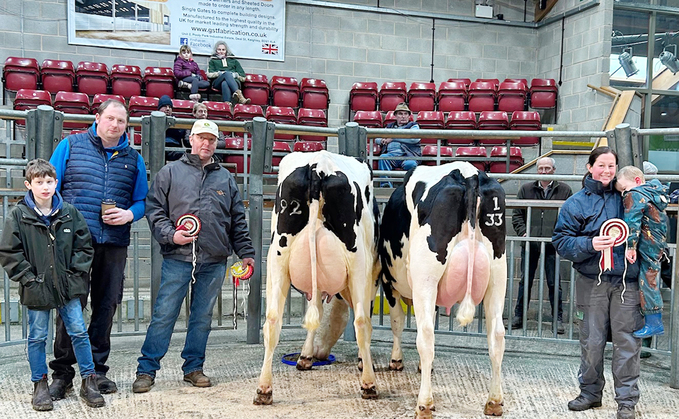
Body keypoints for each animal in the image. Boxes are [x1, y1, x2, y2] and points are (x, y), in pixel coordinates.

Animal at [255, 151, 382, 406]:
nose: (321, 352)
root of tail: (318, 166)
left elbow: (317, 313)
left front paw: (305, 356)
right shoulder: (370, 275)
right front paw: (362, 360)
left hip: (276, 258)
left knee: (272, 321)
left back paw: (264, 389)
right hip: (358, 262)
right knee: (361, 321)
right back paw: (369, 384)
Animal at [380, 162, 508, 418]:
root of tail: (468, 174)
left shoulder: (389, 282)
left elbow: (397, 321)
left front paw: (396, 360)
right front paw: (422, 367)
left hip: (425, 277)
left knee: (426, 335)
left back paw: (424, 404)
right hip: (498, 273)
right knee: (497, 335)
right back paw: (494, 401)